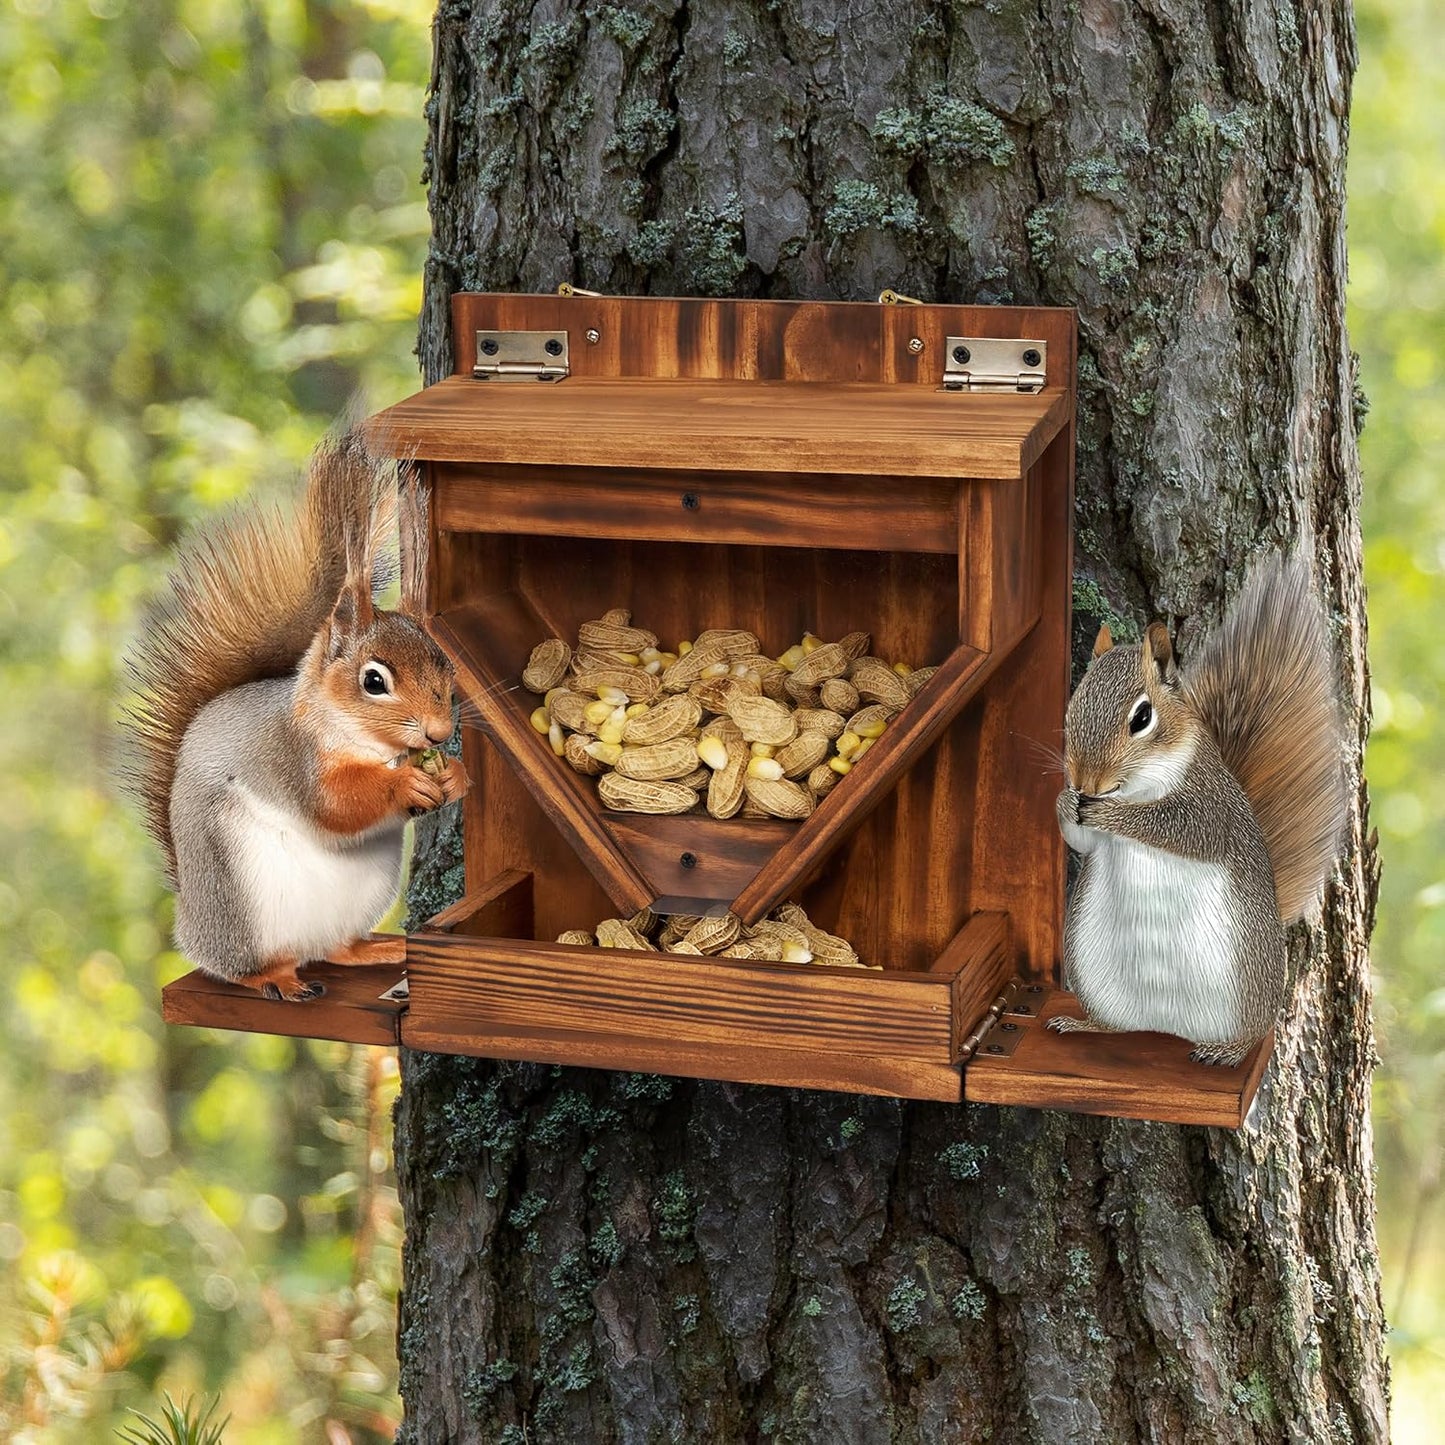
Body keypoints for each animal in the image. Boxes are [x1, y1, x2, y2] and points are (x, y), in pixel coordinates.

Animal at [122, 427, 468, 1002]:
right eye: (374, 682)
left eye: (445, 663)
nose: (440, 733)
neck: (368, 744)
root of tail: (191, 922)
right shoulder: (291, 756)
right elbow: (334, 804)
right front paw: (404, 785)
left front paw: (455, 776)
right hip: (239, 901)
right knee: (245, 965)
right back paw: (277, 978)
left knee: (336, 948)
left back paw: (377, 950)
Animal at [1053, 552, 1347, 1066]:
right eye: (1072, 706)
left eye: (1142, 717)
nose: (1086, 782)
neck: (1138, 786)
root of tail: (1169, 1027)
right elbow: (1082, 841)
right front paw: (1066, 802)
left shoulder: (1211, 806)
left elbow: (1183, 830)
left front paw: (1114, 815)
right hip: (1095, 973)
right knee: (1117, 1025)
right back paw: (1085, 1025)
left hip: (1246, 988)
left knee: (1254, 1033)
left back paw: (1227, 1052)